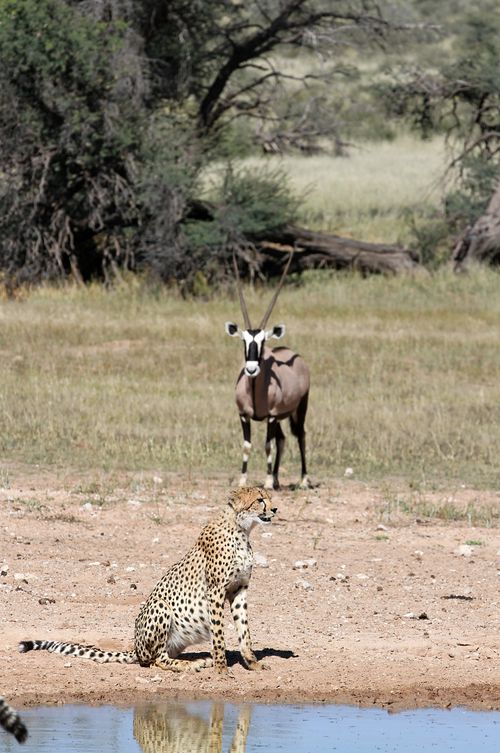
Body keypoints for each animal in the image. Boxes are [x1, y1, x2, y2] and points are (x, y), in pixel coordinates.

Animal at [19, 486, 276, 674]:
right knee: (157, 660)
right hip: (161, 607)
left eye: (270, 498)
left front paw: (253, 663)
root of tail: (136, 647)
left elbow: (244, 631)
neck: (241, 530)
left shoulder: (239, 589)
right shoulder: (215, 590)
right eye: (260, 500)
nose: (274, 509)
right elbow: (219, 633)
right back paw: (191, 665)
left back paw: (198, 661)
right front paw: (221, 668)